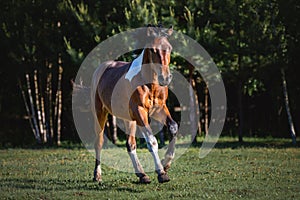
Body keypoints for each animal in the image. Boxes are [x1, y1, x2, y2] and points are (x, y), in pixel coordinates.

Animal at [90, 25, 177, 184]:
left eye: (169, 48)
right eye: (153, 49)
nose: (165, 78)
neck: (149, 82)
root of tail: (101, 69)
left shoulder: (159, 109)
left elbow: (173, 127)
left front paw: (166, 163)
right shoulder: (140, 111)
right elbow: (152, 141)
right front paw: (161, 173)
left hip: (129, 119)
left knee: (130, 144)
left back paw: (142, 175)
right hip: (100, 113)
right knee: (98, 142)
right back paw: (97, 175)